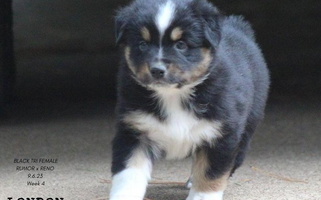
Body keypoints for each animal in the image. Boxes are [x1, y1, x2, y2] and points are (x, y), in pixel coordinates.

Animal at [109, 0, 268, 200]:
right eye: (143, 44)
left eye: (181, 45)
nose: (157, 70)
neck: (172, 95)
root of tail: (239, 27)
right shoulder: (133, 130)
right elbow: (128, 173)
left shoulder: (222, 134)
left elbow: (210, 173)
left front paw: (202, 195)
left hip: (247, 128)